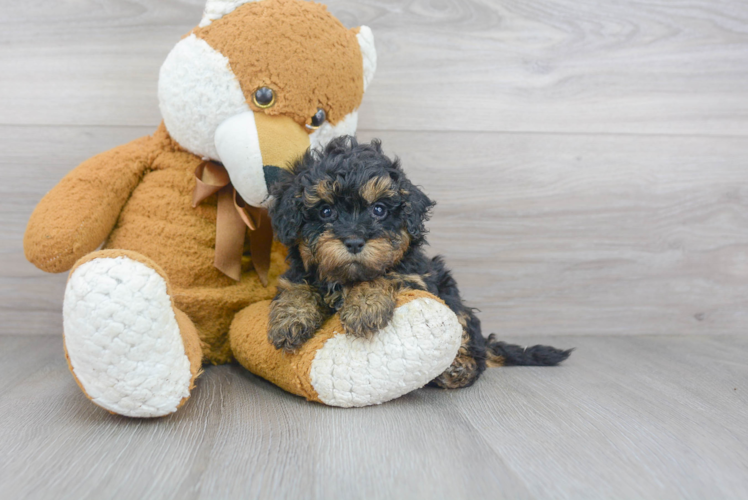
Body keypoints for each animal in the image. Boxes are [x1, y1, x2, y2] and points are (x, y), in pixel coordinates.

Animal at [266, 138, 568, 390]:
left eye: (379, 210)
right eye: (326, 211)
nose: (353, 241)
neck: (345, 279)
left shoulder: (417, 276)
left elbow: (382, 276)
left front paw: (364, 306)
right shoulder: (299, 273)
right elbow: (297, 287)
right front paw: (290, 319)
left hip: (452, 299)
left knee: (470, 343)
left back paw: (458, 368)